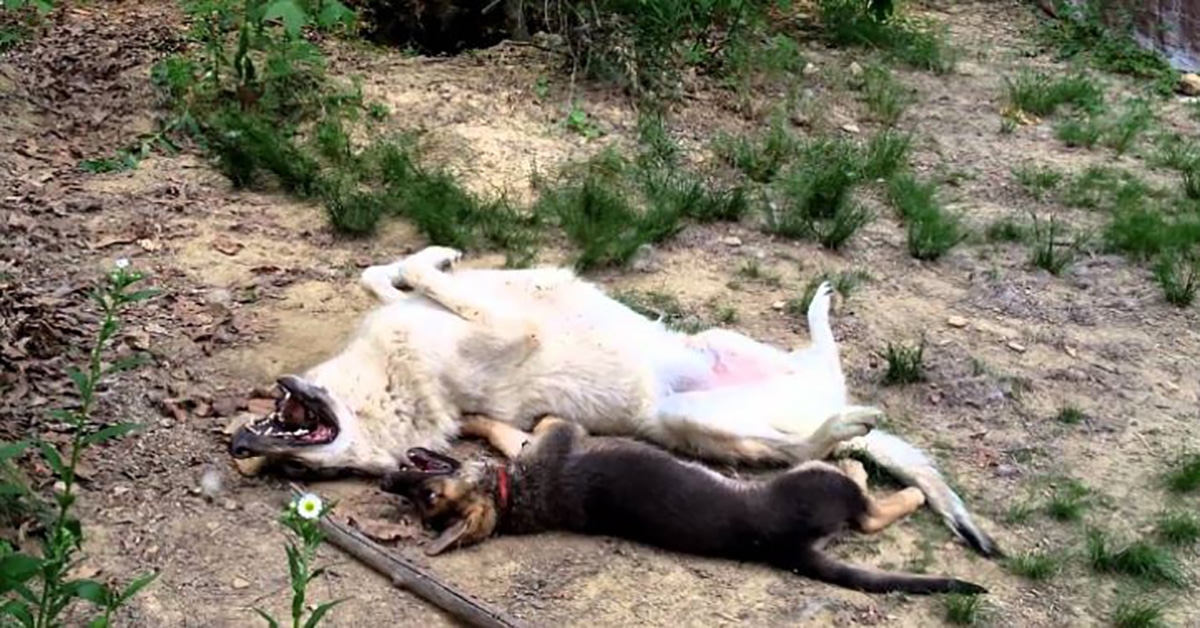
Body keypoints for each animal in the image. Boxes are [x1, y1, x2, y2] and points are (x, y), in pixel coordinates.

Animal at [229, 246, 998, 554]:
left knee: (827, 360)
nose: (237, 444)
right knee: (817, 439)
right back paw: (849, 416)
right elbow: (410, 276)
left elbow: (391, 273)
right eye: (294, 474)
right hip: (693, 422)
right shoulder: (505, 329)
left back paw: (821, 307)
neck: (397, 385)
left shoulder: (466, 312)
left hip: (720, 339)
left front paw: (437, 255)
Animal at [381, 417, 984, 595]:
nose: (388, 479)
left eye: (425, 494)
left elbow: (503, 430)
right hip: (816, 485)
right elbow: (522, 428)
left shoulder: (536, 445)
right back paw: (874, 473)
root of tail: (785, 549)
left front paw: (471, 421)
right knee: (869, 509)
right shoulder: (555, 433)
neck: (512, 498)